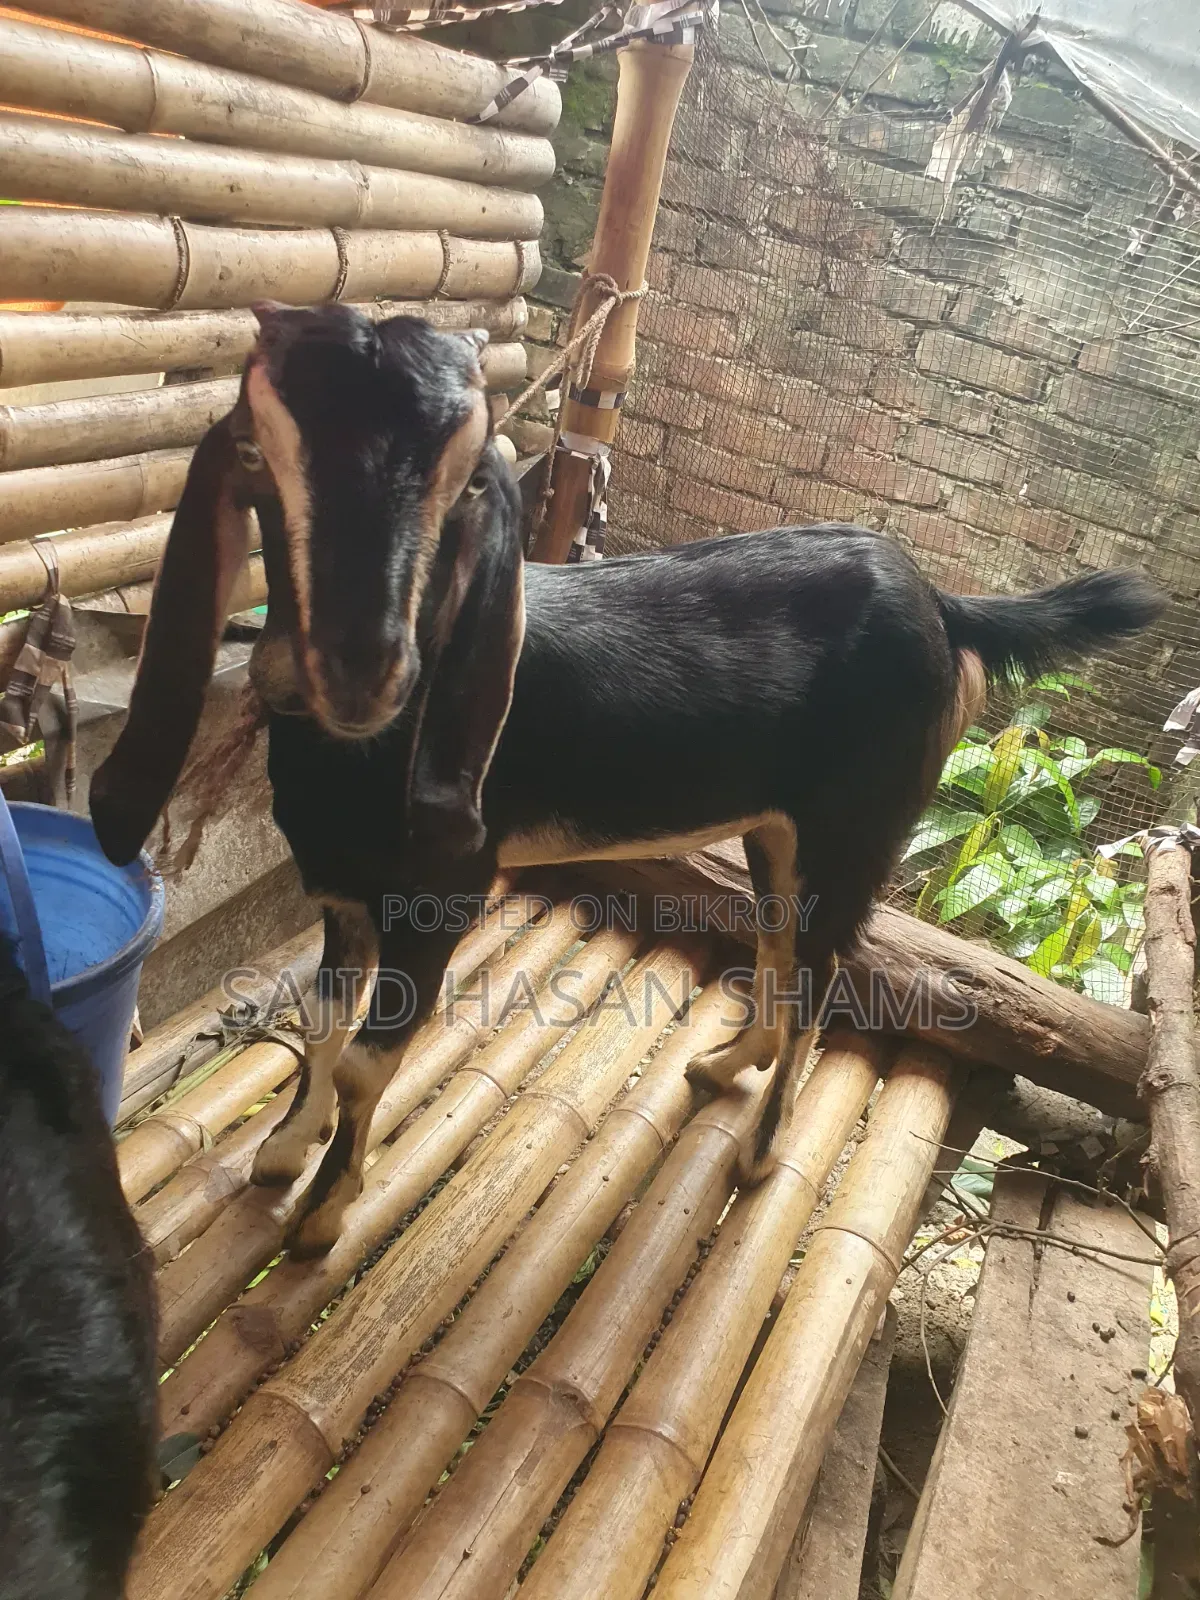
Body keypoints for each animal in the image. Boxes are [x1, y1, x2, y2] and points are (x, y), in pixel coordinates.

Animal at [89, 306, 1161, 1257]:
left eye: (464, 483)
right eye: (260, 457)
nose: (363, 669)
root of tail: (940, 598)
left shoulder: (445, 886)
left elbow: (365, 1062)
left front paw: (320, 1217)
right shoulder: (342, 891)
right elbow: (319, 1027)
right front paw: (280, 1155)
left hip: (859, 826)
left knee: (820, 981)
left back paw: (759, 1157)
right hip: (778, 833)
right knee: (779, 958)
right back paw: (723, 1067)